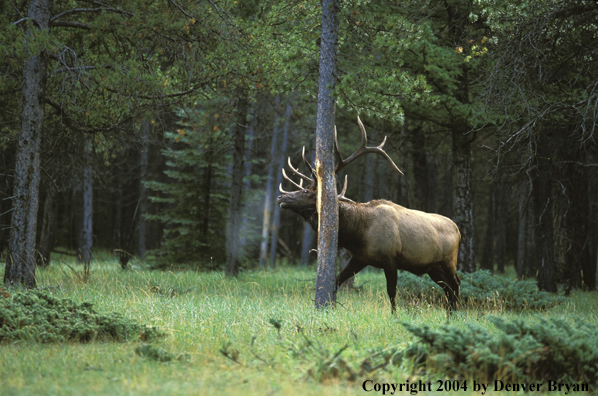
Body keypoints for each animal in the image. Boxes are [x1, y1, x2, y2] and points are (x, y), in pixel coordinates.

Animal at [278, 117, 464, 312]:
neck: (358, 233)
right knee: (447, 288)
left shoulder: (390, 257)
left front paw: (394, 315)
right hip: (432, 267)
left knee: (456, 284)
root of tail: (458, 231)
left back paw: (455, 313)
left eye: (306, 192)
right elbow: (337, 281)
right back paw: (450, 313)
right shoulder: (360, 258)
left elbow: (391, 291)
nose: (280, 197)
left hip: (448, 260)